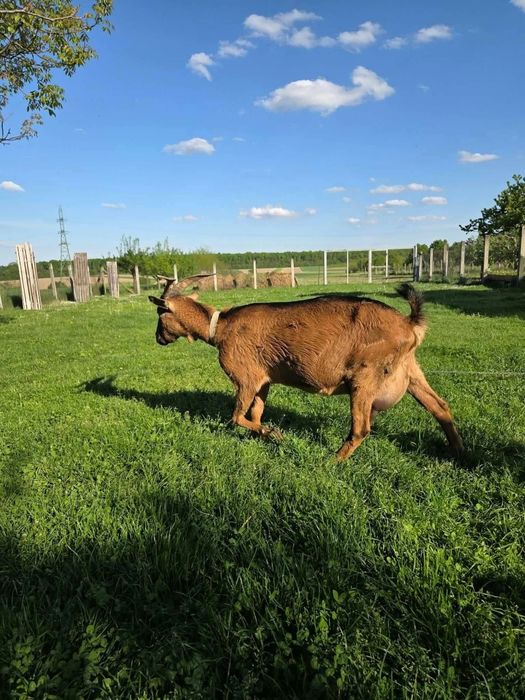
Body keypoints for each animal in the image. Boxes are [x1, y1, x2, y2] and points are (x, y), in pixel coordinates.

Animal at [149, 278, 463, 461]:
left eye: (160, 314)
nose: (158, 338)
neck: (220, 327)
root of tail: (410, 324)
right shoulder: (264, 380)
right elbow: (256, 413)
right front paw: (265, 433)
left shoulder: (245, 378)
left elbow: (236, 417)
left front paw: (275, 434)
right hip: (410, 371)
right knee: (440, 406)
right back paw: (459, 453)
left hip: (365, 376)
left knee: (361, 428)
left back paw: (332, 461)